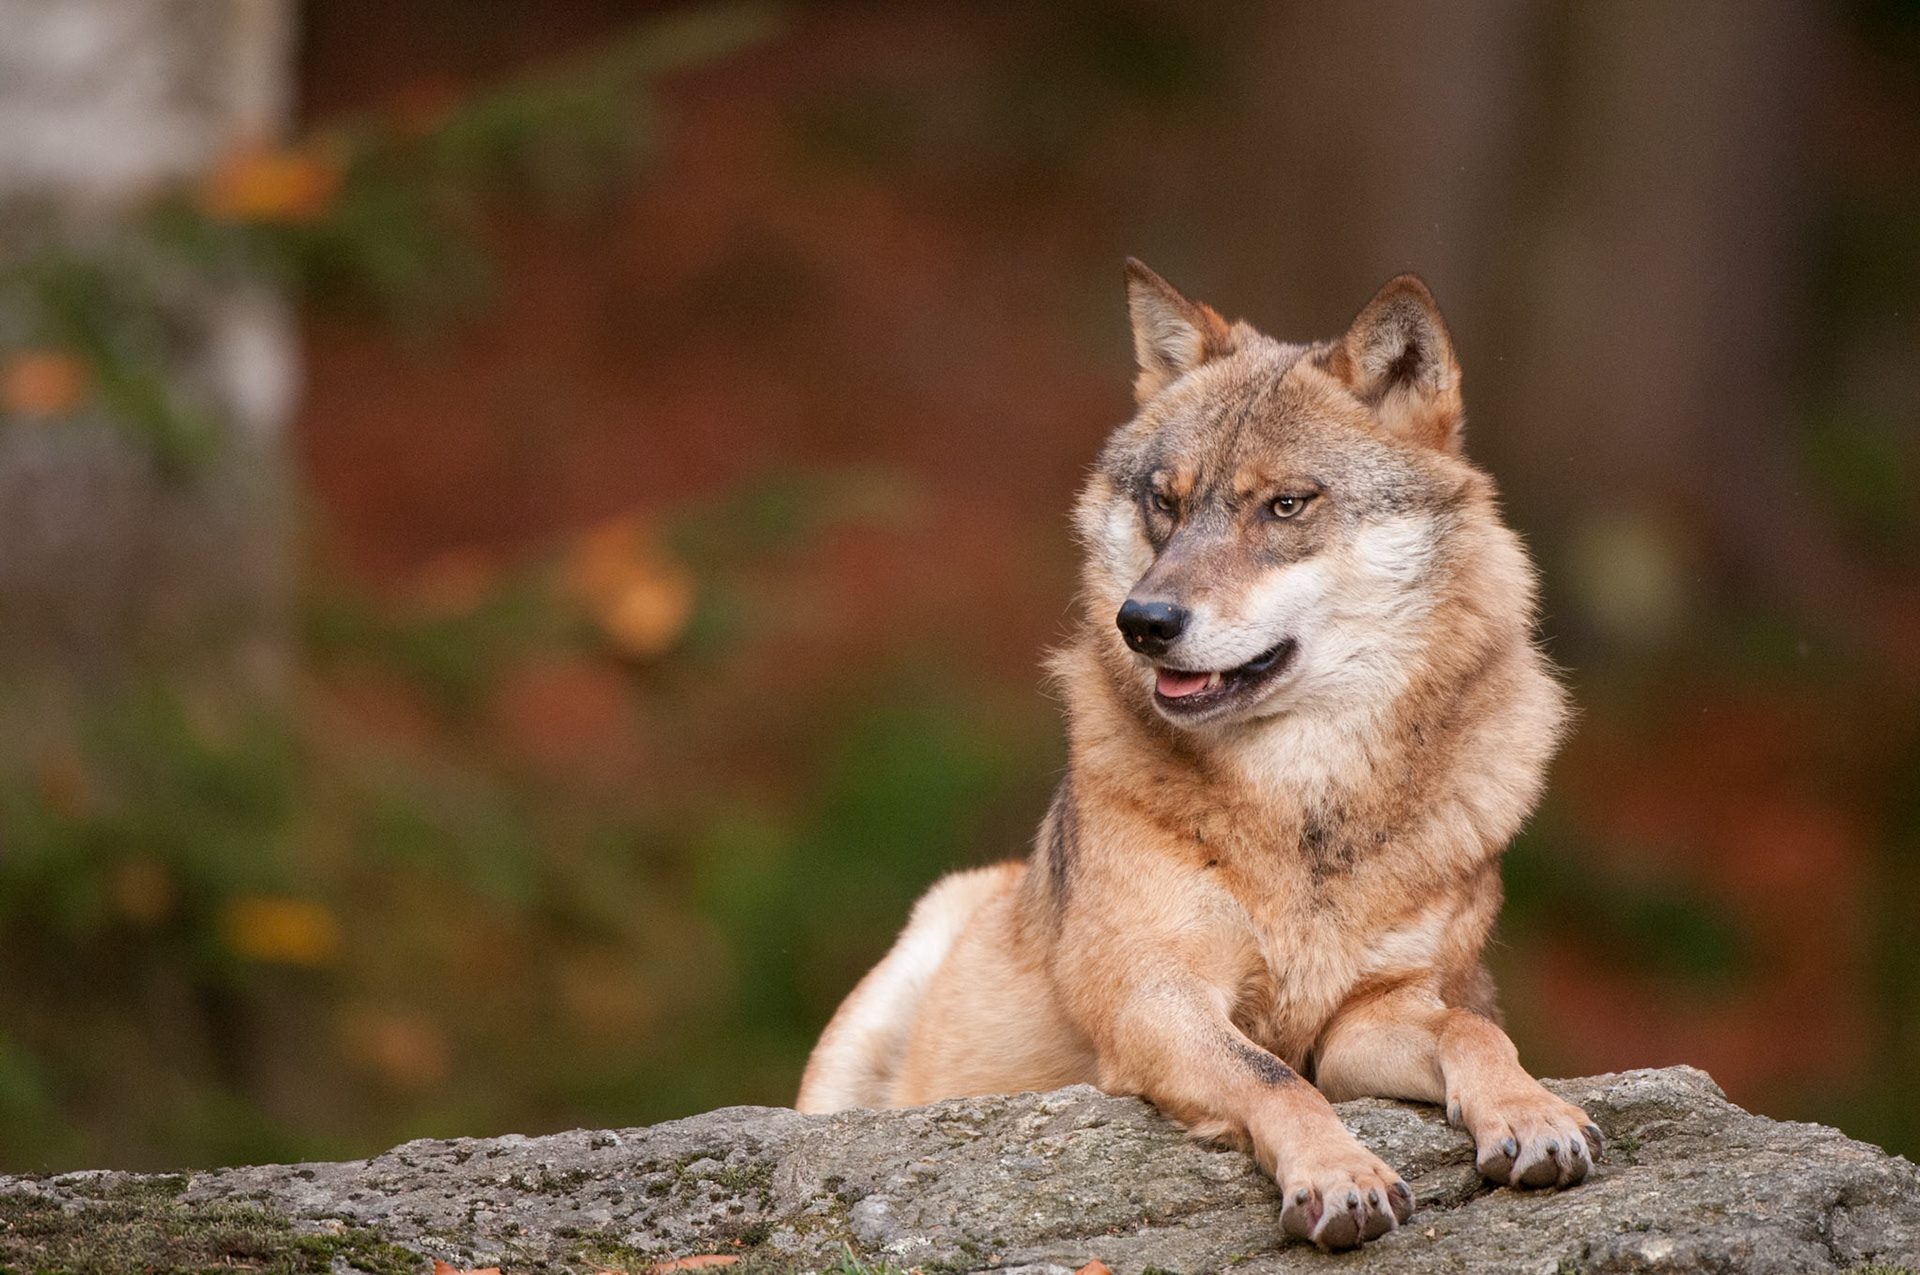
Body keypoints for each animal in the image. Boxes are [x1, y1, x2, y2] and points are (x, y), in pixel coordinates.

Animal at [796, 261, 1600, 1250]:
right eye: (1166, 503)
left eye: (1284, 504)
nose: (1142, 621)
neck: (1304, 807)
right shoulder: (1156, 996)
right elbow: (1272, 1076)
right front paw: (1340, 1177)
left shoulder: (1370, 1015)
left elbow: (1472, 1032)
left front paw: (1532, 1114)